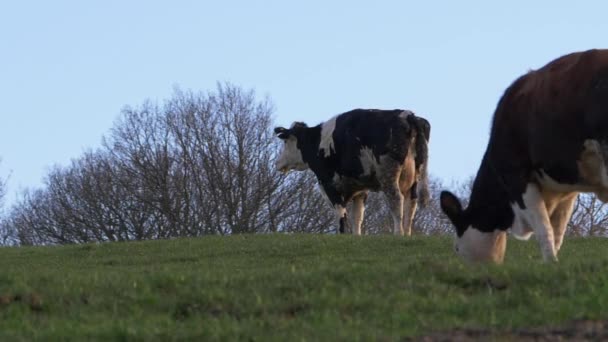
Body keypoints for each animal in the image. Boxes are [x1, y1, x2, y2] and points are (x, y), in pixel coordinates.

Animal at [274, 109, 430, 235]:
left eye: (285, 142)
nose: (278, 163)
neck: (317, 142)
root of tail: (408, 115)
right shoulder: (360, 189)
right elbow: (357, 216)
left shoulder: (329, 184)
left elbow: (341, 214)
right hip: (415, 177)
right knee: (411, 203)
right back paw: (407, 234)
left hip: (388, 174)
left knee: (397, 200)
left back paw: (398, 233)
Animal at [440, 48, 608, 264]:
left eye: (457, 249)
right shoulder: (566, 190)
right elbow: (558, 231)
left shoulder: (517, 177)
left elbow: (544, 228)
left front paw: (550, 263)